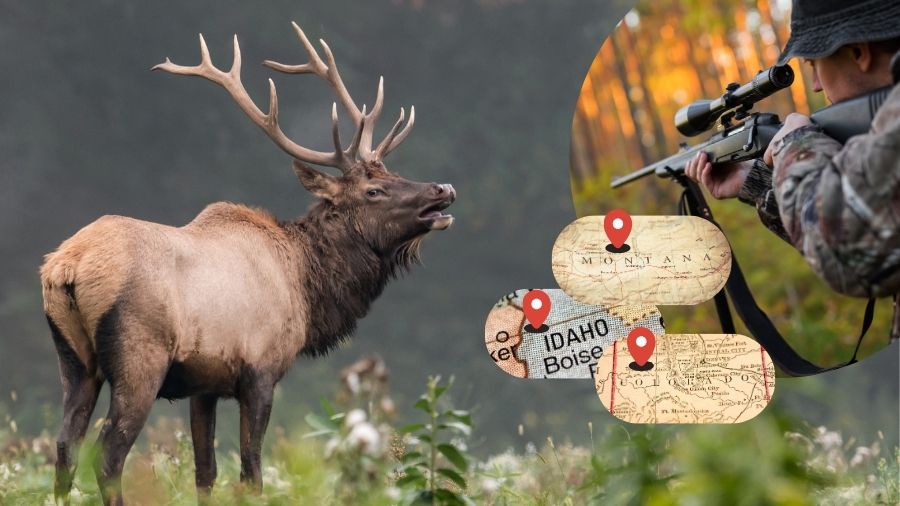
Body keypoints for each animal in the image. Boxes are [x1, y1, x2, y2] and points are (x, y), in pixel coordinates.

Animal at [40, 21, 454, 505]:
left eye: (393, 173)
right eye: (373, 190)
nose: (443, 189)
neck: (306, 287)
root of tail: (65, 267)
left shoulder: (203, 385)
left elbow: (205, 470)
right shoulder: (260, 370)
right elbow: (251, 471)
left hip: (74, 360)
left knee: (65, 446)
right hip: (139, 356)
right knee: (107, 454)